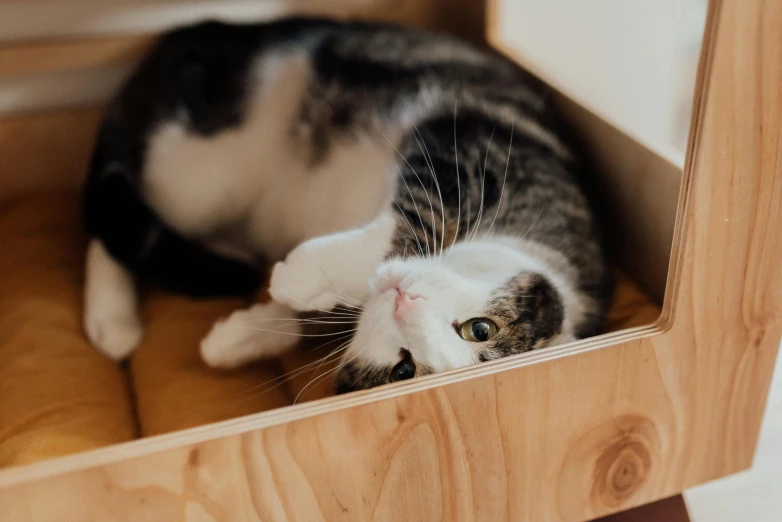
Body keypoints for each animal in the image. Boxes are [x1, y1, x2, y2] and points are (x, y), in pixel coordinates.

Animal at [84, 17, 612, 390]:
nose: (403, 303)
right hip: (198, 171)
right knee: (104, 213)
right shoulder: (472, 151)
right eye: (479, 330)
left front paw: (241, 336)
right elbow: (409, 216)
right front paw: (303, 274)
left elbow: (299, 323)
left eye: (404, 369)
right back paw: (112, 319)